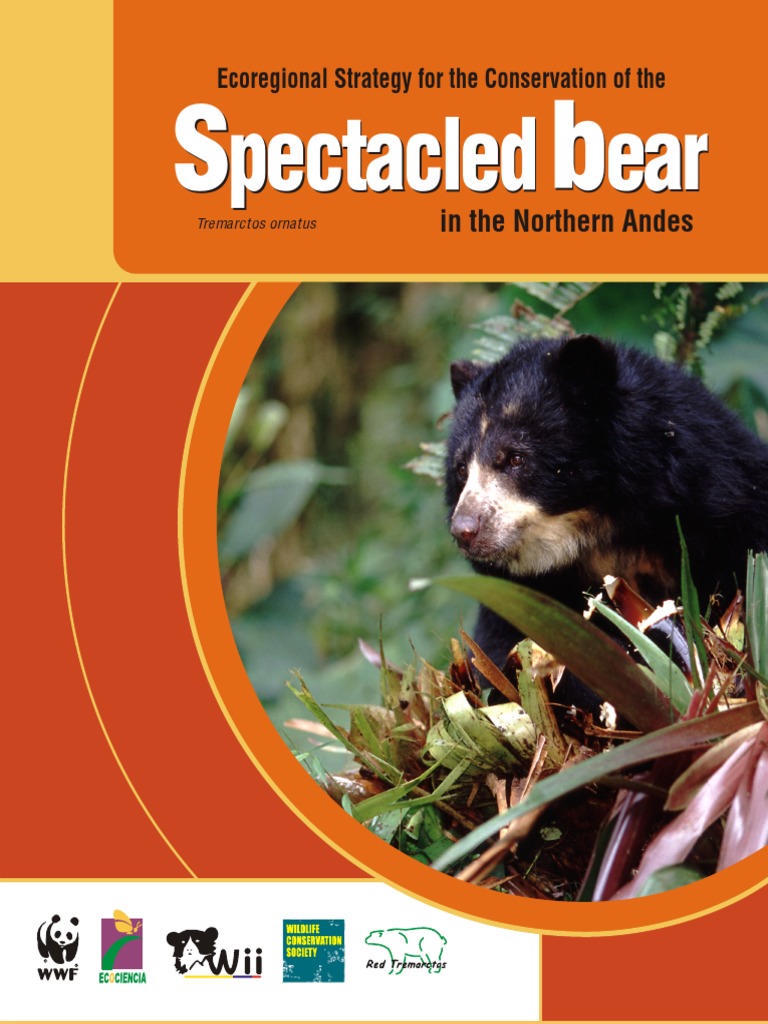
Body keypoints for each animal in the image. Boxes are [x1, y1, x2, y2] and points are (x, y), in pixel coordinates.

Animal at [445, 333, 768, 713]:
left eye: (515, 458)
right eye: (461, 469)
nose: (465, 530)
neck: (599, 525)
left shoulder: (722, 507)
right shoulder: (525, 589)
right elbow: (503, 651)